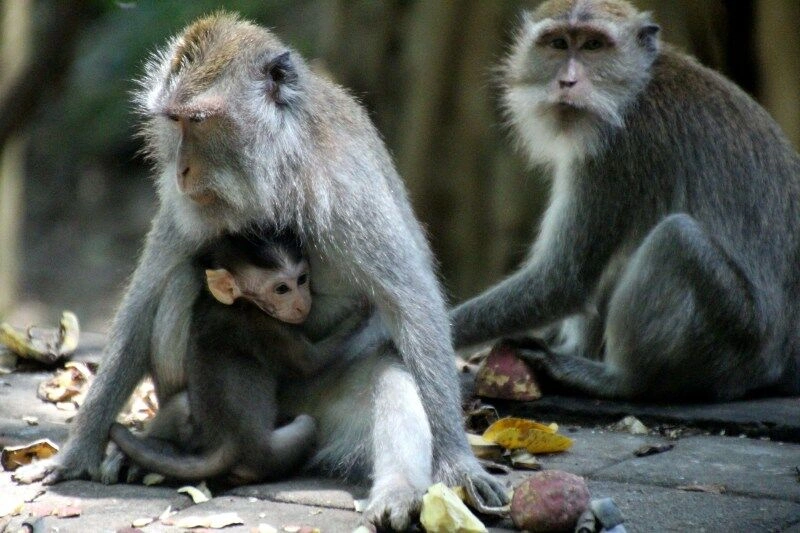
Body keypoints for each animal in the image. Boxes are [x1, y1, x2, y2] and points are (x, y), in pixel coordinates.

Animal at [109, 229, 357, 484]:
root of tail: (226, 445)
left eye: (302, 279)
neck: (237, 303)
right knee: (306, 424)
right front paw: (358, 314)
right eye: (281, 289)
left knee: (181, 403)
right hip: (270, 453)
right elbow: (311, 362)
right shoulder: (265, 327)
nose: (302, 304)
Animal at [450, 0, 800, 402]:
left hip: (737, 341)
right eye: (558, 43)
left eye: (593, 46)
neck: (634, 89)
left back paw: (619, 379)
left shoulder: (615, 152)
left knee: (677, 239)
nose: (567, 82)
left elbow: (563, 279)